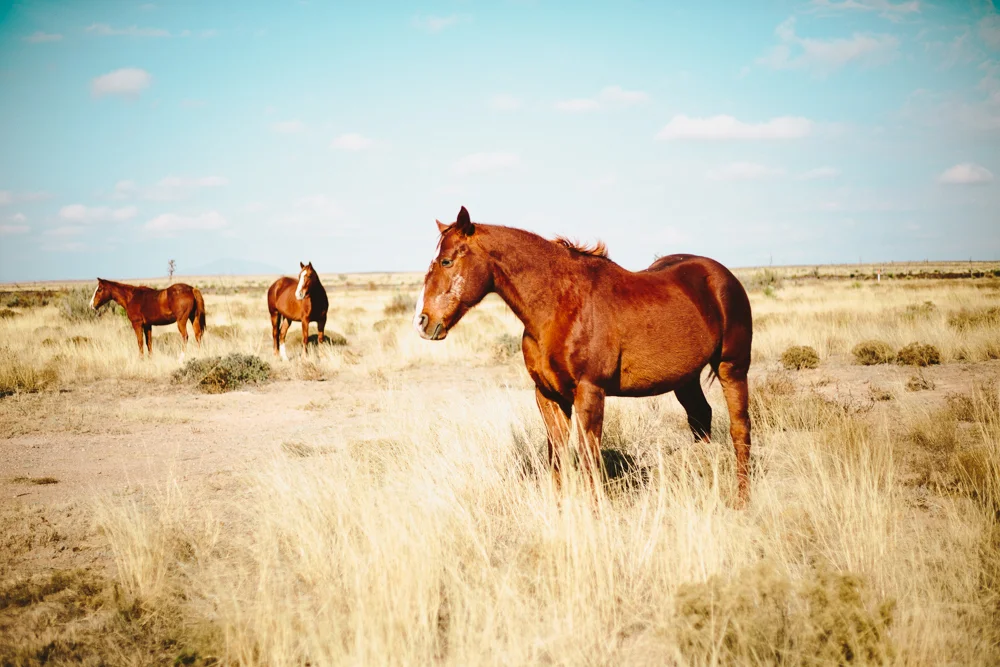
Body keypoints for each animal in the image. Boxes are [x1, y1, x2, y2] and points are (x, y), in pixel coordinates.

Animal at [413, 206, 754, 507]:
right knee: (701, 418)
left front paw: (595, 513)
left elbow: (589, 456)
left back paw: (741, 499)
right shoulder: (548, 396)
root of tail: (722, 276)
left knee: (739, 428)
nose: (423, 322)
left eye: (446, 261)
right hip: (685, 380)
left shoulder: (590, 392)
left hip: (733, 368)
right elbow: (557, 455)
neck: (560, 304)